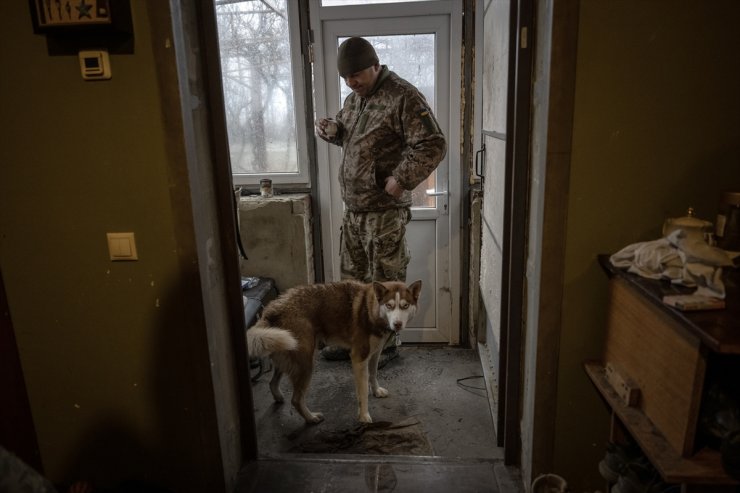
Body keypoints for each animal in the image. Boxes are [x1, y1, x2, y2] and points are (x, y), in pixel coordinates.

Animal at [249, 278, 422, 424]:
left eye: (405, 306)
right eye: (389, 305)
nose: (397, 324)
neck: (370, 309)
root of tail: (273, 308)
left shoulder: (375, 353)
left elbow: (373, 374)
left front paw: (376, 391)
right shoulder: (359, 358)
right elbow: (362, 392)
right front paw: (363, 416)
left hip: (285, 354)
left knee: (272, 383)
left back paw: (279, 397)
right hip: (305, 363)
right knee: (296, 399)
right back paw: (311, 418)